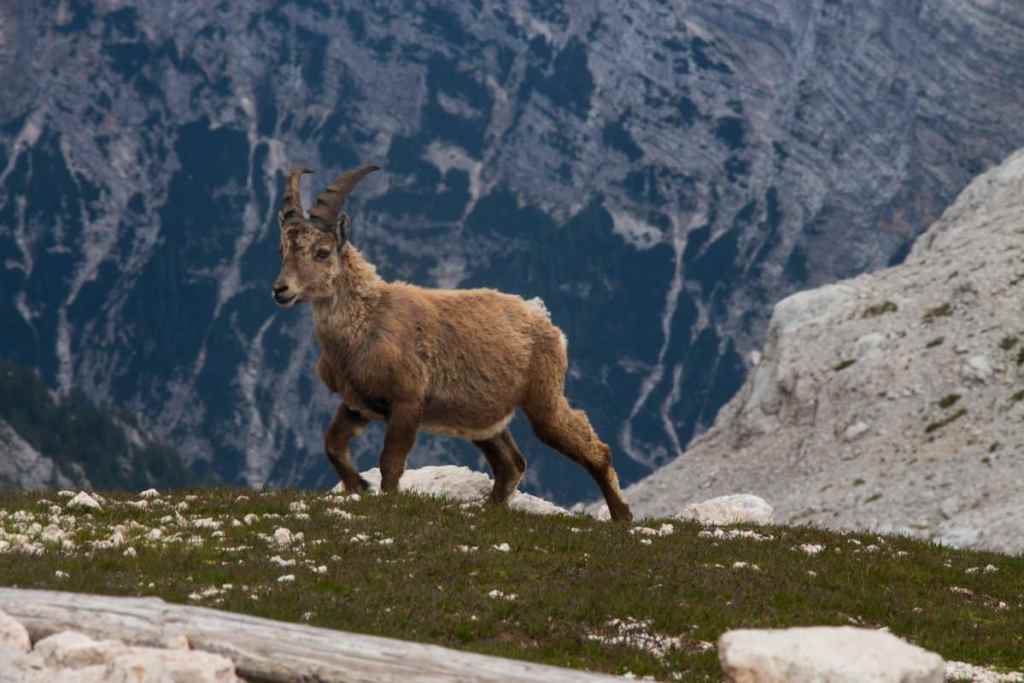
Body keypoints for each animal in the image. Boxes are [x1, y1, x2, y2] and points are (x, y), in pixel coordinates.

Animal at [271, 166, 633, 521]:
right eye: (282, 251)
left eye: (321, 252)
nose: (280, 289)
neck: (366, 321)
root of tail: (541, 316)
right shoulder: (358, 403)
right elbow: (332, 444)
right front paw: (359, 484)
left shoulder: (407, 401)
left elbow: (391, 463)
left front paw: (386, 500)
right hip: (482, 419)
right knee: (511, 464)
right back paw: (489, 509)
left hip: (543, 397)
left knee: (593, 447)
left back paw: (621, 515)